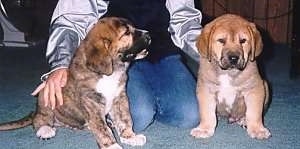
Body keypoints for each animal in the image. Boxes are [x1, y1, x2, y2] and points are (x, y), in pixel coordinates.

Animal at [0, 17, 150, 149]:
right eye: (126, 33)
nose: (149, 35)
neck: (110, 73)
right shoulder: (92, 104)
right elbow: (102, 129)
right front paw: (111, 145)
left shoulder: (119, 98)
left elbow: (125, 119)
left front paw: (130, 137)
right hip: (46, 99)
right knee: (38, 119)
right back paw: (45, 129)